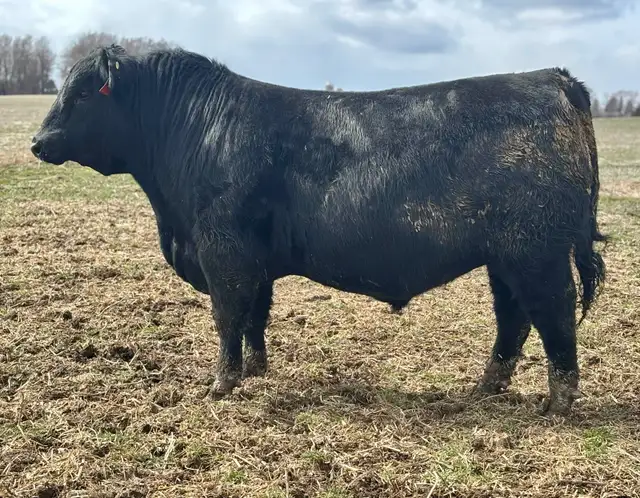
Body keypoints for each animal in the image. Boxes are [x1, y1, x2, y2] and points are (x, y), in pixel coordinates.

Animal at [30, 44, 607, 415]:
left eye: (84, 94)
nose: (38, 142)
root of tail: (552, 78)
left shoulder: (224, 252)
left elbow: (227, 317)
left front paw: (220, 384)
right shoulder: (254, 263)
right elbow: (254, 317)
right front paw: (255, 371)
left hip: (536, 253)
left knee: (554, 316)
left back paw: (557, 404)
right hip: (504, 258)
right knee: (513, 319)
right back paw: (485, 387)